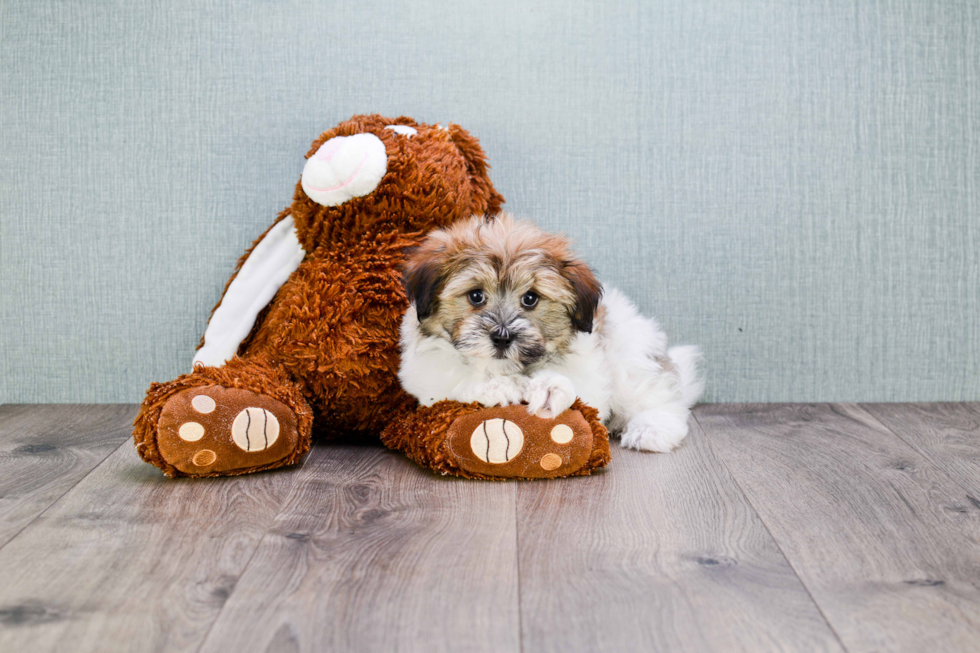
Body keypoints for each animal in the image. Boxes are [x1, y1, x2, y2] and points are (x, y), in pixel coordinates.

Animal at [398, 214, 704, 454]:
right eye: (475, 295)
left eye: (530, 298)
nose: (502, 337)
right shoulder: (426, 375)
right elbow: (457, 379)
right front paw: (500, 386)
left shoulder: (592, 370)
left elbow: (579, 389)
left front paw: (549, 388)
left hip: (630, 357)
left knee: (657, 397)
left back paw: (651, 430)